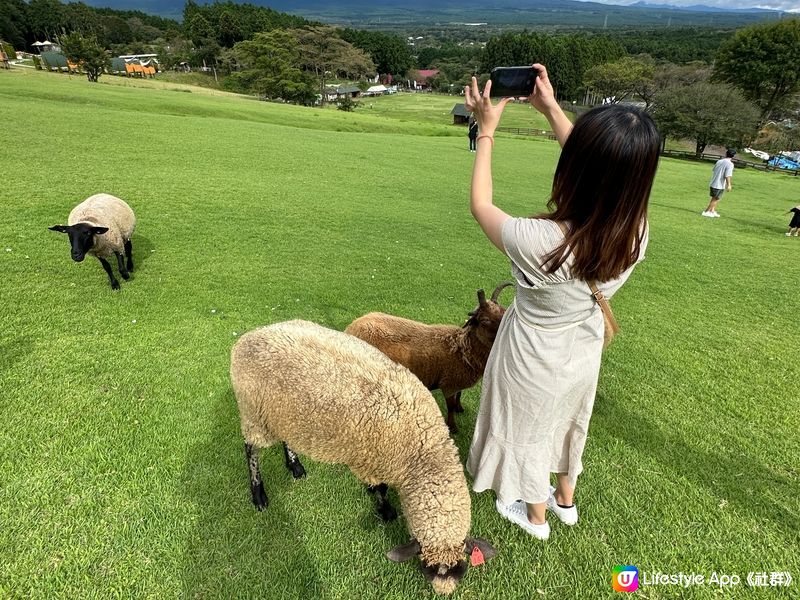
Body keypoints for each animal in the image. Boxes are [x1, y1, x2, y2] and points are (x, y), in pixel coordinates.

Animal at [228, 318, 496, 596]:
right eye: (426, 568)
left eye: (460, 569)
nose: (443, 591)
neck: (422, 450)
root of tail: (251, 335)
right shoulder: (372, 459)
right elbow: (380, 489)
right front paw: (385, 510)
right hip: (253, 412)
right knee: (250, 449)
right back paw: (258, 493)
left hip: (283, 413)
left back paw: (295, 466)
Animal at [346, 284, 516, 434]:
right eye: (484, 320)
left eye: (503, 311)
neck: (463, 349)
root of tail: (351, 326)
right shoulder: (449, 383)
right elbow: (450, 406)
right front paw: (453, 427)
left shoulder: (457, 380)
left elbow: (459, 396)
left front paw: (460, 408)